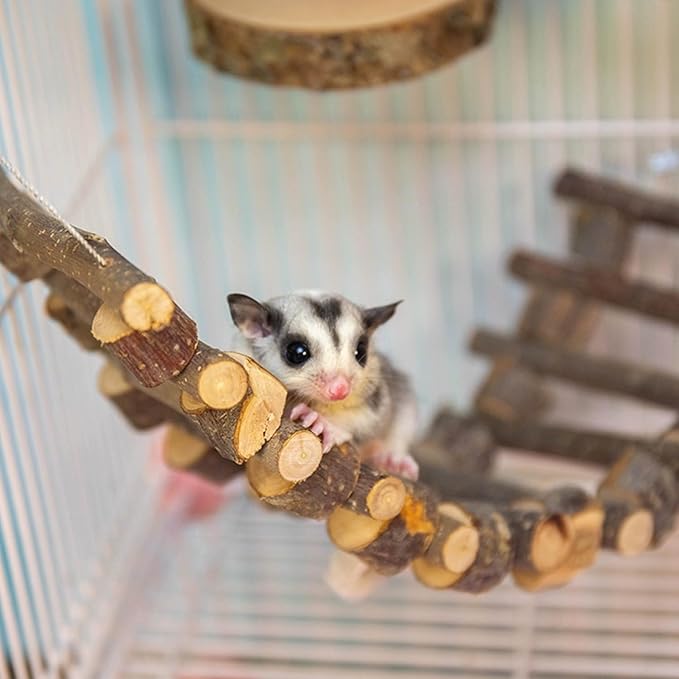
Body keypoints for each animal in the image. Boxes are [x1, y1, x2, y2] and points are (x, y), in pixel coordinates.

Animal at [227, 290, 419, 480]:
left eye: (361, 352)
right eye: (297, 353)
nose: (340, 389)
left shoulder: (375, 387)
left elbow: (373, 417)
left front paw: (323, 423)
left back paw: (392, 461)